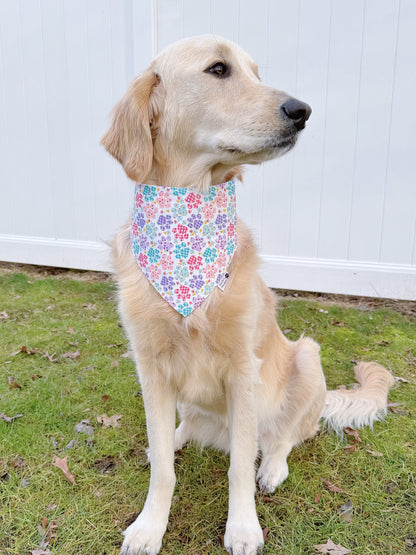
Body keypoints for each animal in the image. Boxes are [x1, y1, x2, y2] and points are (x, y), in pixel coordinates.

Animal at [102, 35, 394, 555]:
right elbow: (163, 471)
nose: (303, 110)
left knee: (284, 438)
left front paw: (242, 528)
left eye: (258, 73)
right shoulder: (150, 366)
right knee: (183, 431)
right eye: (219, 69)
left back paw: (272, 467)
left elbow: (240, 465)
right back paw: (177, 435)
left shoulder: (242, 370)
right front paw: (149, 526)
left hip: (306, 359)